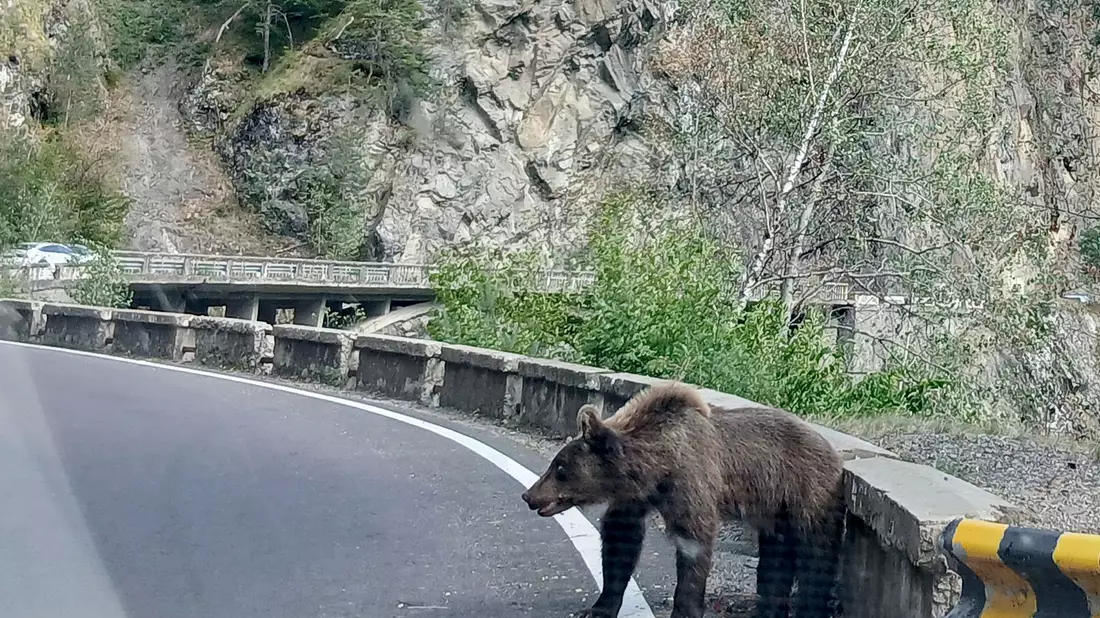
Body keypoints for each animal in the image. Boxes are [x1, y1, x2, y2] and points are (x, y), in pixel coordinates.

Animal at [520, 382, 845, 618]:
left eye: (559, 467)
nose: (529, 495)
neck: (658, 465)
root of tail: (833, 452)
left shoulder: (691, 483)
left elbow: (693, 543)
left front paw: (685, 609)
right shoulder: (638, 496)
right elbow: (620, 538)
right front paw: (599, 607)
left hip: (807, 491)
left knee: (816, 555)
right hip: (774, 512)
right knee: (775, 563)